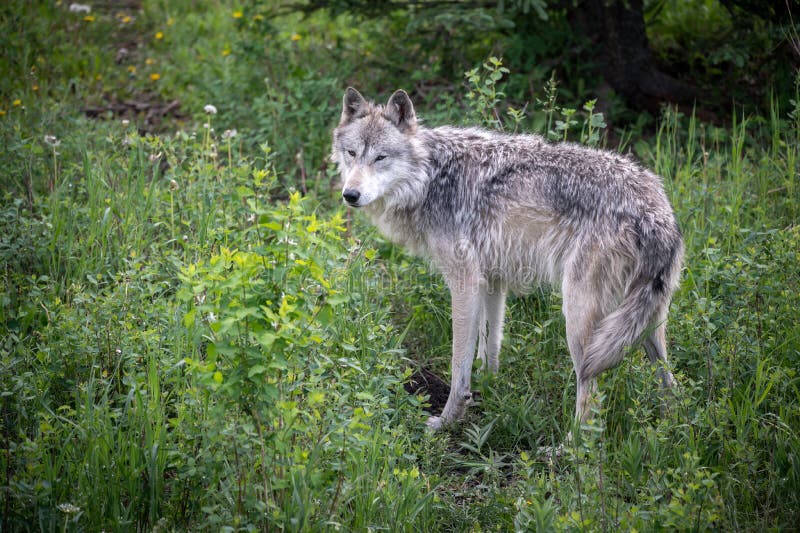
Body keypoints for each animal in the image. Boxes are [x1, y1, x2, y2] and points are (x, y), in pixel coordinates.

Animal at [331, 87, 683, 432]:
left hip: (579, 319)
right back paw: (670, 431)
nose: (350, 195)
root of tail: (658, 213)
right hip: (645, 325)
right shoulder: (492, 281)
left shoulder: (464, 283)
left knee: (591, 396)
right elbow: (490, 347)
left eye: (381, 157)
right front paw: (488, 389)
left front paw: (446, 421)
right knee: (671, 384)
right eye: (352, 153)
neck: (431, 178)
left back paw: (568, 446)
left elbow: (459, 364)